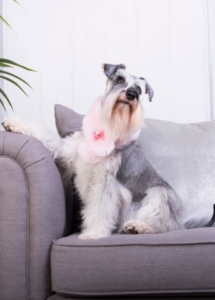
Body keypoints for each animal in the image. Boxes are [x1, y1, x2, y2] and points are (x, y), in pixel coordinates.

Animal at [2, 62, 215, 239]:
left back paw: (139, 227)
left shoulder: (105, 182)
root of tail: (182, 221)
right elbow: (46, 137)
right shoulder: (68, 151)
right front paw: (13, 124)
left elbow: (100, 208)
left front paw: (93, 234)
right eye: (120, 79)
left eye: (139, 89)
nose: (131, 94)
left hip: (159, 194)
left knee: (163, 224)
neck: (108, 127)